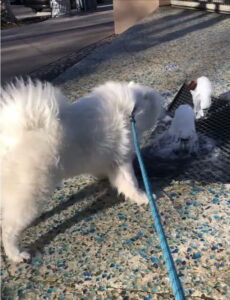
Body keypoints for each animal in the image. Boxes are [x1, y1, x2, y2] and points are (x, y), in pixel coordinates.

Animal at [0, 78, 163, 262]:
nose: (163, 103)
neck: (131, 110)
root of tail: (11, 138)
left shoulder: (106, 160)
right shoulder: (123, 160)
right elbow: (131, 183)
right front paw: (145, 197)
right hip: (31, 194)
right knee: (8, 228)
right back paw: (16, 254)